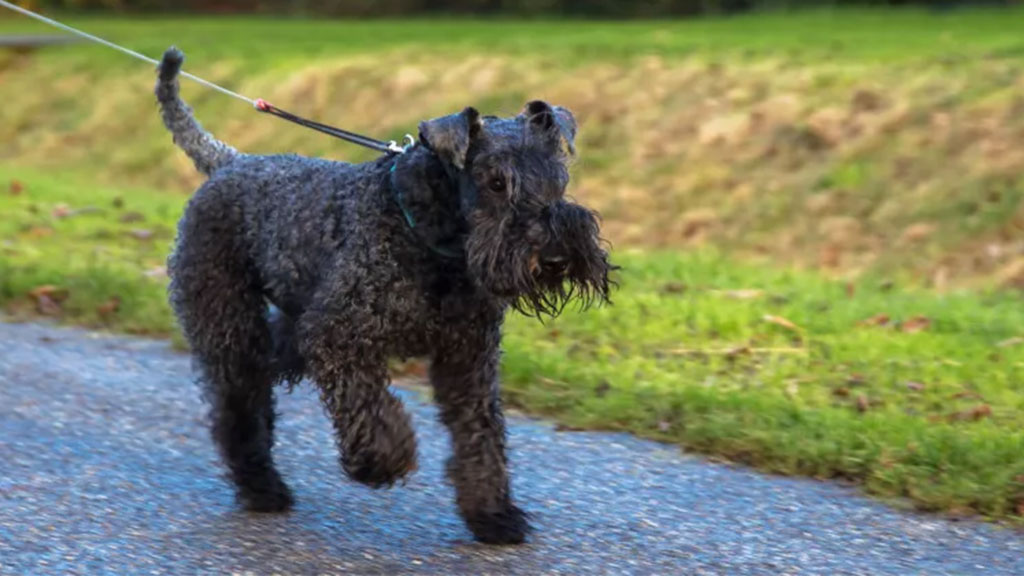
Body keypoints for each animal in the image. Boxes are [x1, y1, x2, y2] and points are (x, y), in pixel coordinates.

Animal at [155, 45, 610, 541]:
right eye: (495, 181)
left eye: (558, 176)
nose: (556, 257)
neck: (428, 235)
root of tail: (229, 163)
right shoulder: (340, 338)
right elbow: (371, 407)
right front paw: (381, 462)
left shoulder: (468, 358)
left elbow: (479, 432)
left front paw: (493, 514)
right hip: (229, 321)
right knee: (237, 406)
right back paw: (261, 487)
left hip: (288, 325)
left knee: (262, 371)